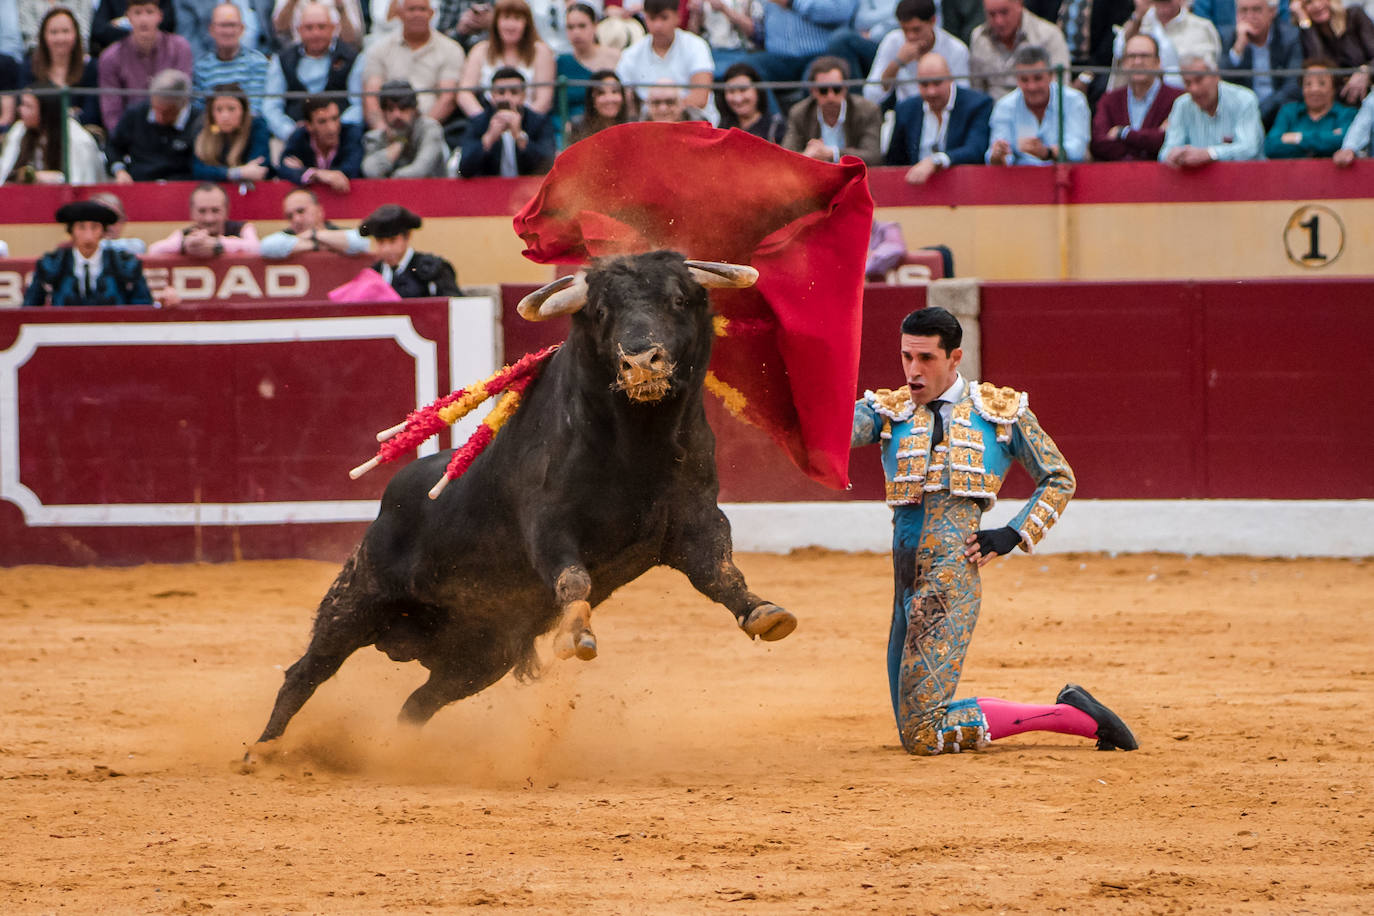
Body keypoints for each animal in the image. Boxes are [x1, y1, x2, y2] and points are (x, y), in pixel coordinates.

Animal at [250, 251, 796, 752]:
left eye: (679, 300)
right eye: (602, 311)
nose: (641, 361)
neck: (637, 443)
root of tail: (392, 497)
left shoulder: (695, 519)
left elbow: (721, 571)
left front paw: (764, 613)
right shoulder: (549, 526)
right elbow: (573, 578)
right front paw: (576, 634)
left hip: (479, 659)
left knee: (418, 703)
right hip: (359, 596)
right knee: (308, 669)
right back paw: (262, 751)